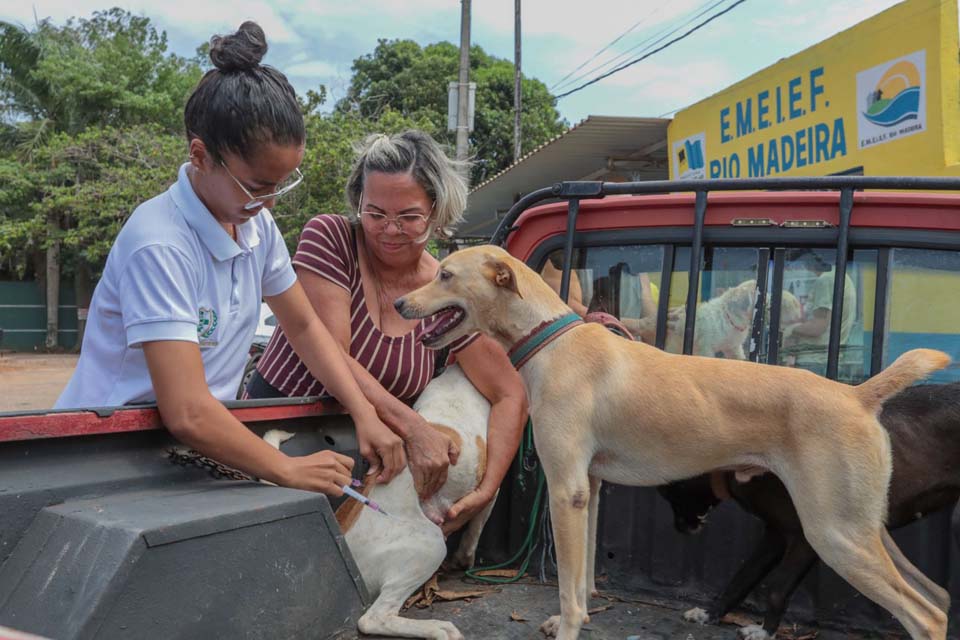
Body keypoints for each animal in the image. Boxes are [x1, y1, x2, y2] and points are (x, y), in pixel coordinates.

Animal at [394, 245, 948, 640]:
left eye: (445, 274)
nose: (399, 301)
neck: (552, 338)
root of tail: (856, 394)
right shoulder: (589, 489)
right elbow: (584, 578)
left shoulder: (566, 490)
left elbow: (569, 588)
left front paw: (568, 627)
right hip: (862, 529)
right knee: (938, 599)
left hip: (835, 535)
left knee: (925, 617)